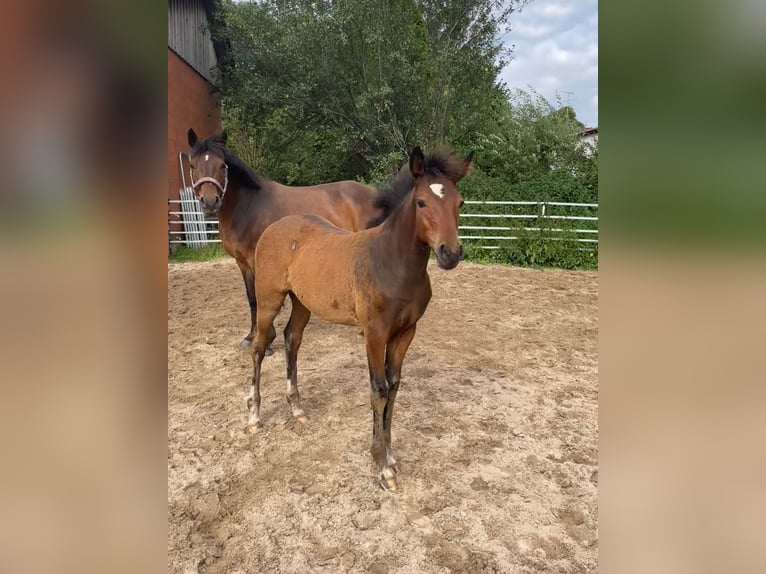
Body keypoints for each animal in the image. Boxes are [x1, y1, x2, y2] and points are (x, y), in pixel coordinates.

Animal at [184, 130, 380, 354]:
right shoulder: (242, 263)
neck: (249, 206)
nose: (210, 202)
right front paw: (250, 337)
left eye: (222, 165)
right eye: (193, 165)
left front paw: (267, 341)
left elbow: (261, 298)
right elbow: (252, 298)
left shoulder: (257, 261)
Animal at [249, 146, 474, 492]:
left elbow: (393, 386)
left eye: (459, 202)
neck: (392, 264)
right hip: (268, 300)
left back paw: (297, 408)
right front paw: (382, 468)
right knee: (259, 347)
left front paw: (389, 456)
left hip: (302, 303)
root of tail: (274, 228)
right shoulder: (374, 332)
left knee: (291, 339)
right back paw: (254, 417)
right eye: (421, 202)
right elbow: (378, 388)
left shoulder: (406, 332)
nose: (450, 253)